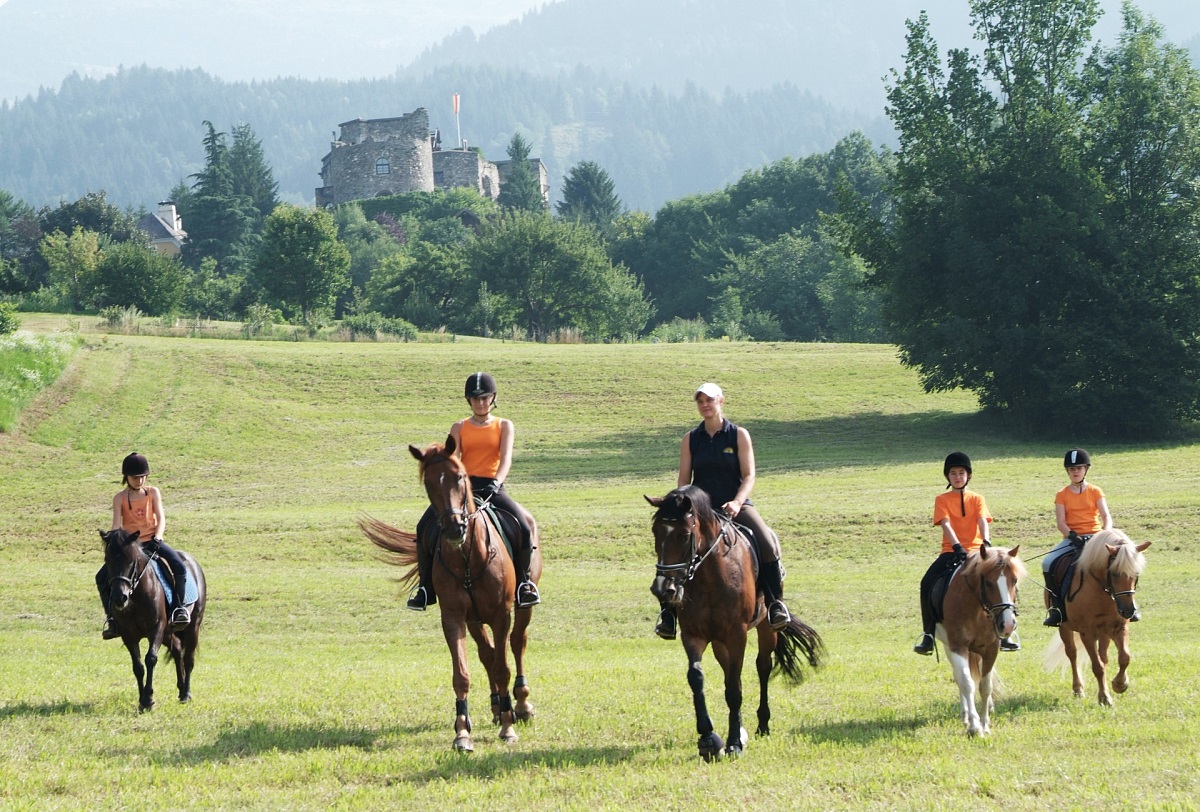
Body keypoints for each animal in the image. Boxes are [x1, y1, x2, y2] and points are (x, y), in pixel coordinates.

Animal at [99, 525, 206, 710]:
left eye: (131, 560)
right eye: (108, 559)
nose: (120, 598)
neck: (136, 596)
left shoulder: (156, 628)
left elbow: (150, 659)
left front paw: (148, 699)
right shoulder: (128, 635)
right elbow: (138, 666)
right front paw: (142, 700)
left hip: (192, 627)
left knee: (188, 659)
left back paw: (186, 694)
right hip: (168, 632)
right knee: (177, 649)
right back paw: (181, 689)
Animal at [357, 441, 542, 748]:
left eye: (459, 477)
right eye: (429, 483)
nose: (455, 528)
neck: (468, 557)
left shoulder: (501, 615)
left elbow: (503, 667)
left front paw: (508, 726)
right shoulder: (454, 617)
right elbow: (462, 674)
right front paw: (462, 732)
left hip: (522, 605)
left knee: (518, 643)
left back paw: (522, 705)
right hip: (474, 619)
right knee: (487, 654)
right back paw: (496, 706)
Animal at [648, 486, 825, 758]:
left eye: (684, 535)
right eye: (656, 532)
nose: (662, 589)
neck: (709, 575)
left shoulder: (736, 635)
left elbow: (734, 688)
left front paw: (733, 743)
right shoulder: (693, 635)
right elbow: (697, 678)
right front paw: (708, 738)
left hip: (765, 628)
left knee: (762, 666)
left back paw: (762, 725)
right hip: (719, 641)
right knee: (728, 670)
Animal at [931, 544, 1027, 734]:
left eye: (1014, 580)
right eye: (988, 583)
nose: (1008, 625)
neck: (977, 609)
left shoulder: (991, 649)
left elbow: (985, 686)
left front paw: (985, 724)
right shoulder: (958, 647)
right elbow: (967, 683)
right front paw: (975, 727)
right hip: (949, 647)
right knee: (960, 678)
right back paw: (965, 716)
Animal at [1041, 527, 1152, 705]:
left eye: (1136, 573)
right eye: (1114, 573)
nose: (1128, 611)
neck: (1102, 590)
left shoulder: (1119, 627)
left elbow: (1124, 657)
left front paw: (1119, 684)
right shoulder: (1087, 633)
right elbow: (1097, 666)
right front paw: (1105, 698)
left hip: (1104, 632)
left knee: (1103, 657)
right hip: (1064, 627)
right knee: (1072, 654)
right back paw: (1078, 689)